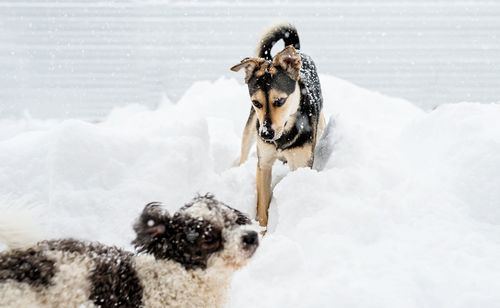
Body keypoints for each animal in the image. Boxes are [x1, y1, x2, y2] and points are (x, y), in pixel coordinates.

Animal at [231, 22, 326, 227]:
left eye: (280, 101)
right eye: (256, 102)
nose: (266, 134)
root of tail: (297, 50)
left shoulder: (301, 164)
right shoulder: (264, 163)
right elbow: (261, 204)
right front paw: (262, 229)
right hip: (251, 128)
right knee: (244, 151)